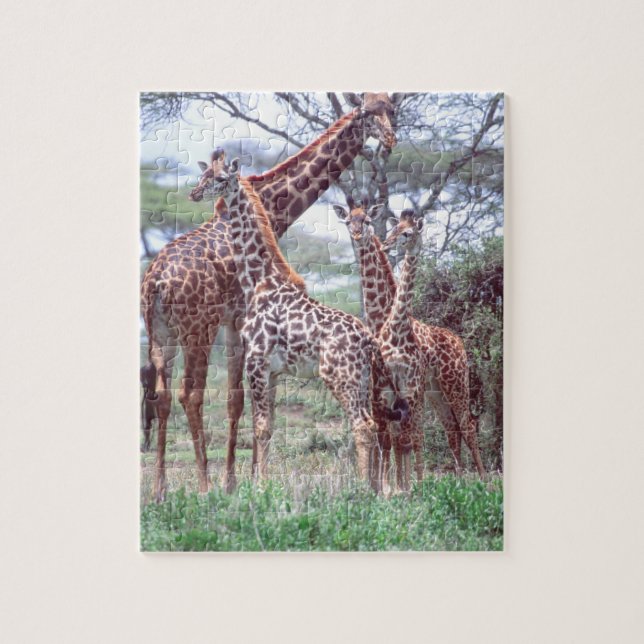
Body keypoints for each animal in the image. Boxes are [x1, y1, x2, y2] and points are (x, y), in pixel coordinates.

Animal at [194, 154, 408, 487]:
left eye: (220, 179)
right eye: (203, 175)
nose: (194, 193)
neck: (259, 281)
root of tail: (368, 341)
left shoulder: (256, 362)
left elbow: (260, 428)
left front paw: (260, 487)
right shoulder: (272, 371)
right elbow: (268, 427)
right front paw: (261, 483)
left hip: (340, 377)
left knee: (363, 425)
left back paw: (362, 488)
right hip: (362, 380)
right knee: (374, 425)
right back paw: (374, 488)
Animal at [333, 199, 486, 486]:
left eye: (367, 221)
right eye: (347, 221)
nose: (358, 236)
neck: (382, 317)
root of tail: (458, 341)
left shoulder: (404, 390)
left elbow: (404, 438)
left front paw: (398, 486)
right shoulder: (381, 390)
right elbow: (388, 438)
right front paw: (384, 485)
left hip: (455, 383)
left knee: (466, 425)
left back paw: (481, 480)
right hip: (435, 391)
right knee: (451, 428)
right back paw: (459, 479)